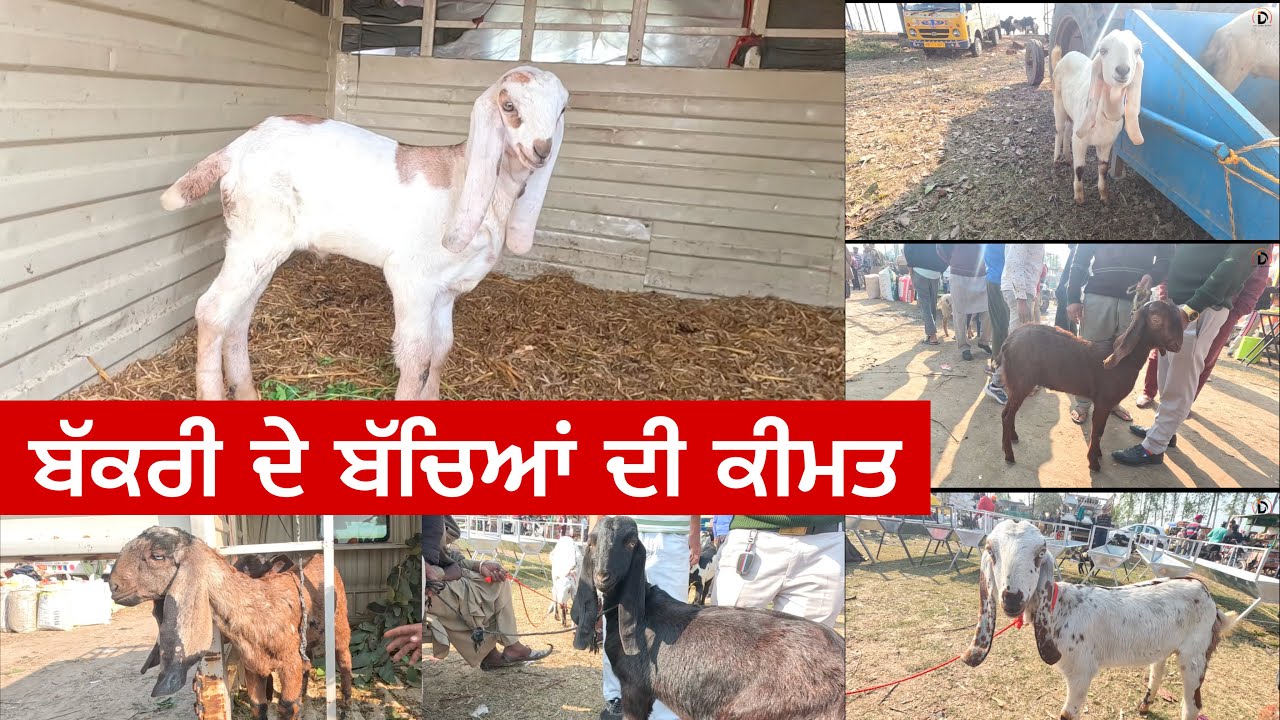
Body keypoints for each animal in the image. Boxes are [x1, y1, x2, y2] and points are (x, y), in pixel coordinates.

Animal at [109, 527, 353, 720]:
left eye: (157, 555)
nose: (113, 586)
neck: (257, 609)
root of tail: (319, 556)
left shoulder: (289, 663)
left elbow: (287, 707)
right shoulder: (253, 665)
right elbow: (258, 706)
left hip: (340, 624)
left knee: (344, 661)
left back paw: (345, 707)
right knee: (309, 663)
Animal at [158, 67, 569, 401]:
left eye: (562, 110)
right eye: (509, 105)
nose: (541, 150)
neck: (461, 175)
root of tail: (235, 149)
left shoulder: (446, 289)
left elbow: (440, 350)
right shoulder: (410, 278)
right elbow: (415, 355)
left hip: (260, 245)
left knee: (239, 314)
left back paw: (246, 392)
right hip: (258, 235)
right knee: (212, 310)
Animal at [962, 520, 1240, 720]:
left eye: (1041, 552)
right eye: (990, 550)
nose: (1012, 598)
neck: (1061, 609)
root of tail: (1205, 592)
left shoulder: (1081, 672)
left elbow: (1068, 714)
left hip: (1195, 656)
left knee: (1192, 704)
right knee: (1157, 671)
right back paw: (1144, 706)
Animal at [994, 299, 1183, 472]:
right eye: (1156, 319)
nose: (1178, 345)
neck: (1125, 361)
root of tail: (1008, 342)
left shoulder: (1106, 403)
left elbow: (1101, 430)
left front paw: (1097, 454)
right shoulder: (1103, 401)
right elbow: (1097, 431)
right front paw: (1094, 462)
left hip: (1017, 385)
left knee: (1008, 413)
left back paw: (1013, 437)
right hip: (1021, 382)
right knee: (1006, 415)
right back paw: (1009, 455)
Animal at [1051, 30, 1145, 205]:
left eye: (1138, 51)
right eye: (1103, 50)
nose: (1123, 70)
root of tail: (1066, 55)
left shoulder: (1107, 143)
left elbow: (1103, 167)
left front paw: (1104, 195)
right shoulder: (1080, 141)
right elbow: (1079, 168)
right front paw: (1079, 198)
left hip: (1072, 113)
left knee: (1067, 130)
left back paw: (1067, 157)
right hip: (1058, 103)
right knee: (1059, 131)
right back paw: (1056, 159)